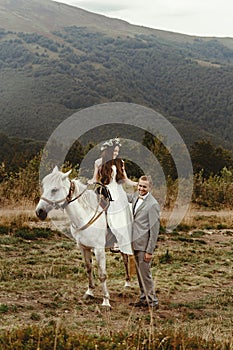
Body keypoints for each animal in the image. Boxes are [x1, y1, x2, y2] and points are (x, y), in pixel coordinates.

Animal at [35, 167, 132, 306]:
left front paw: (106, 300)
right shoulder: (84, 247)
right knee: (125, 258)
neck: (85, 215)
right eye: (44, 187)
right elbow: (89, 269)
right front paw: (89, 292)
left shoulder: (99, 249)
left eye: (54, 189)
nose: (39, 212)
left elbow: (102, 274)